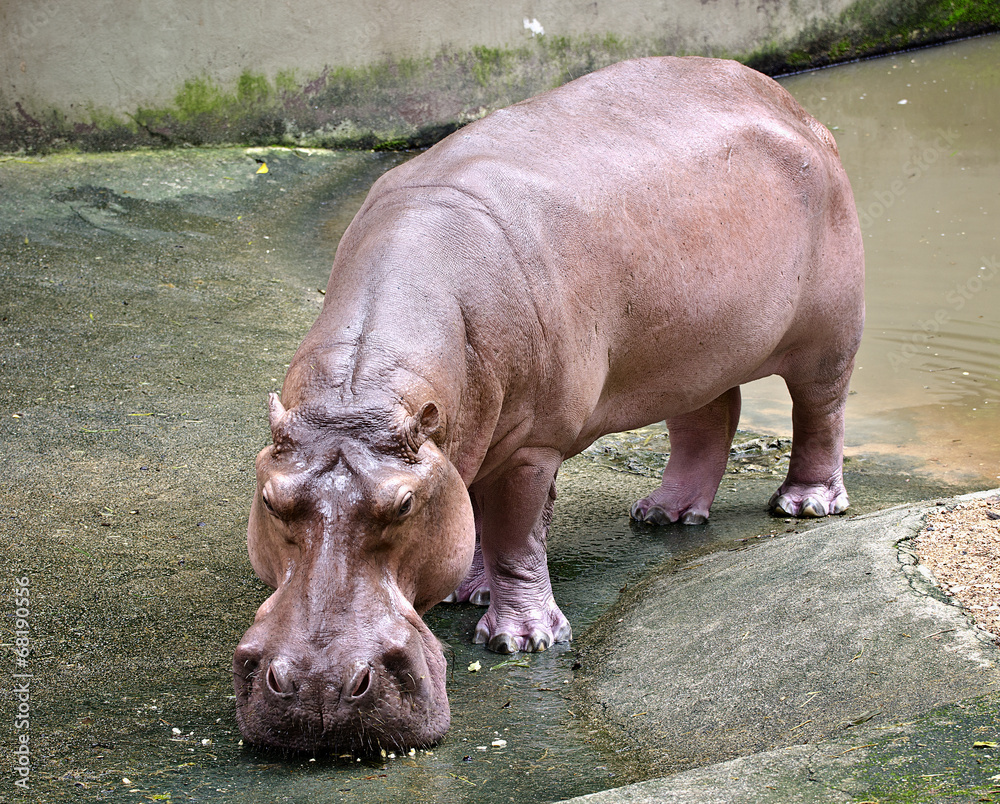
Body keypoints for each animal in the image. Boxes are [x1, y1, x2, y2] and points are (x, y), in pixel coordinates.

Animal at [233, 56, 864, 755]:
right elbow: (474, 512)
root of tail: (787, 102)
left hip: (829, 329)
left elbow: (515, 531)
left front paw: (520, 638)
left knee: (822, 409)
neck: (359, 396)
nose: (319, 688)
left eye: (402, 505)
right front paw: (468, 590)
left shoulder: (530, 445)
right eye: (271, 499)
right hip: (690, 352)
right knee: (709, 416)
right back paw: (664, 516)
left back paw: (805, 505)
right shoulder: (468, 436)